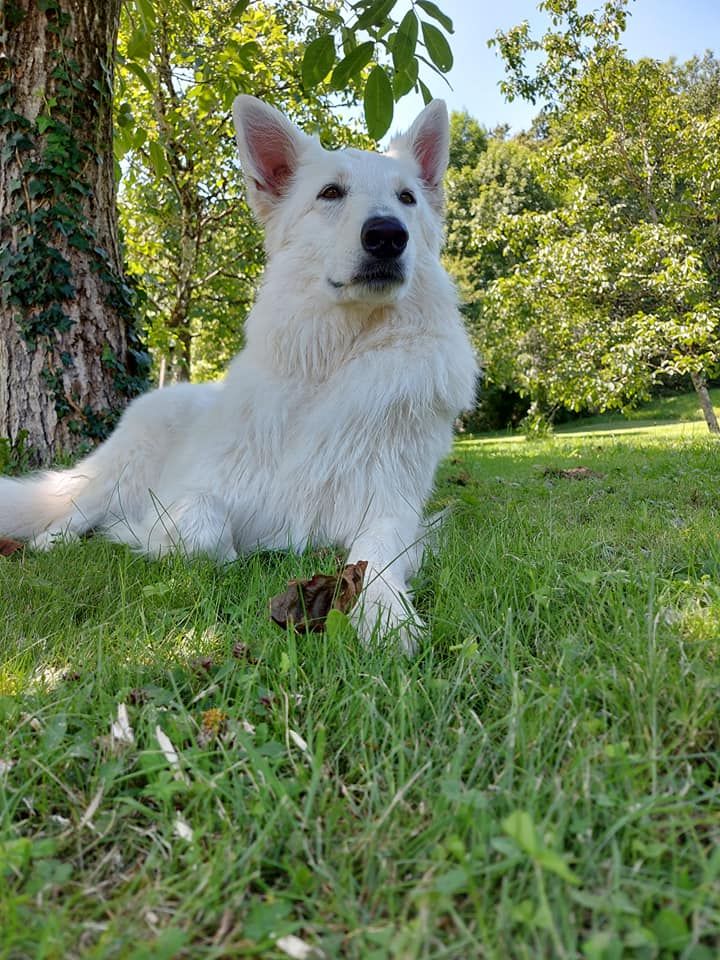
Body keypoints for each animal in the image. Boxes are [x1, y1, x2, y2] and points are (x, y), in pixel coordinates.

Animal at [0, 96, 478, 651]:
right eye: (330, 193)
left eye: (406, 199)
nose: (388, 236)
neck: (335, 358)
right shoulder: (193, 495)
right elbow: (201, 530)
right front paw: (181, 543)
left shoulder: (390, 508)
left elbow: (377, 556)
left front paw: (386, 613)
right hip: (118, 476)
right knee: (73, 510)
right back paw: (52, 542)